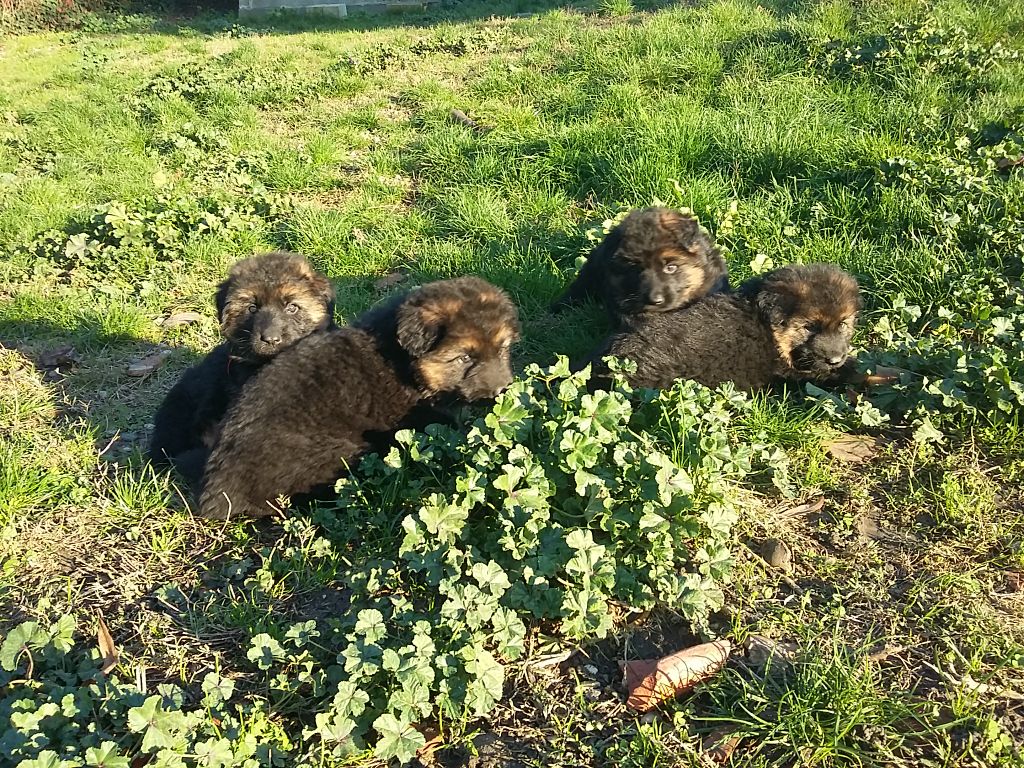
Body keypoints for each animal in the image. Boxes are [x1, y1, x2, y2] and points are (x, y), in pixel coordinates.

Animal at [197, 276, 520, 524]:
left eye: (502, 349)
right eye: (465, 358)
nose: (501, 389)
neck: (405, 361)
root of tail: (215, 492)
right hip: (336, 454)